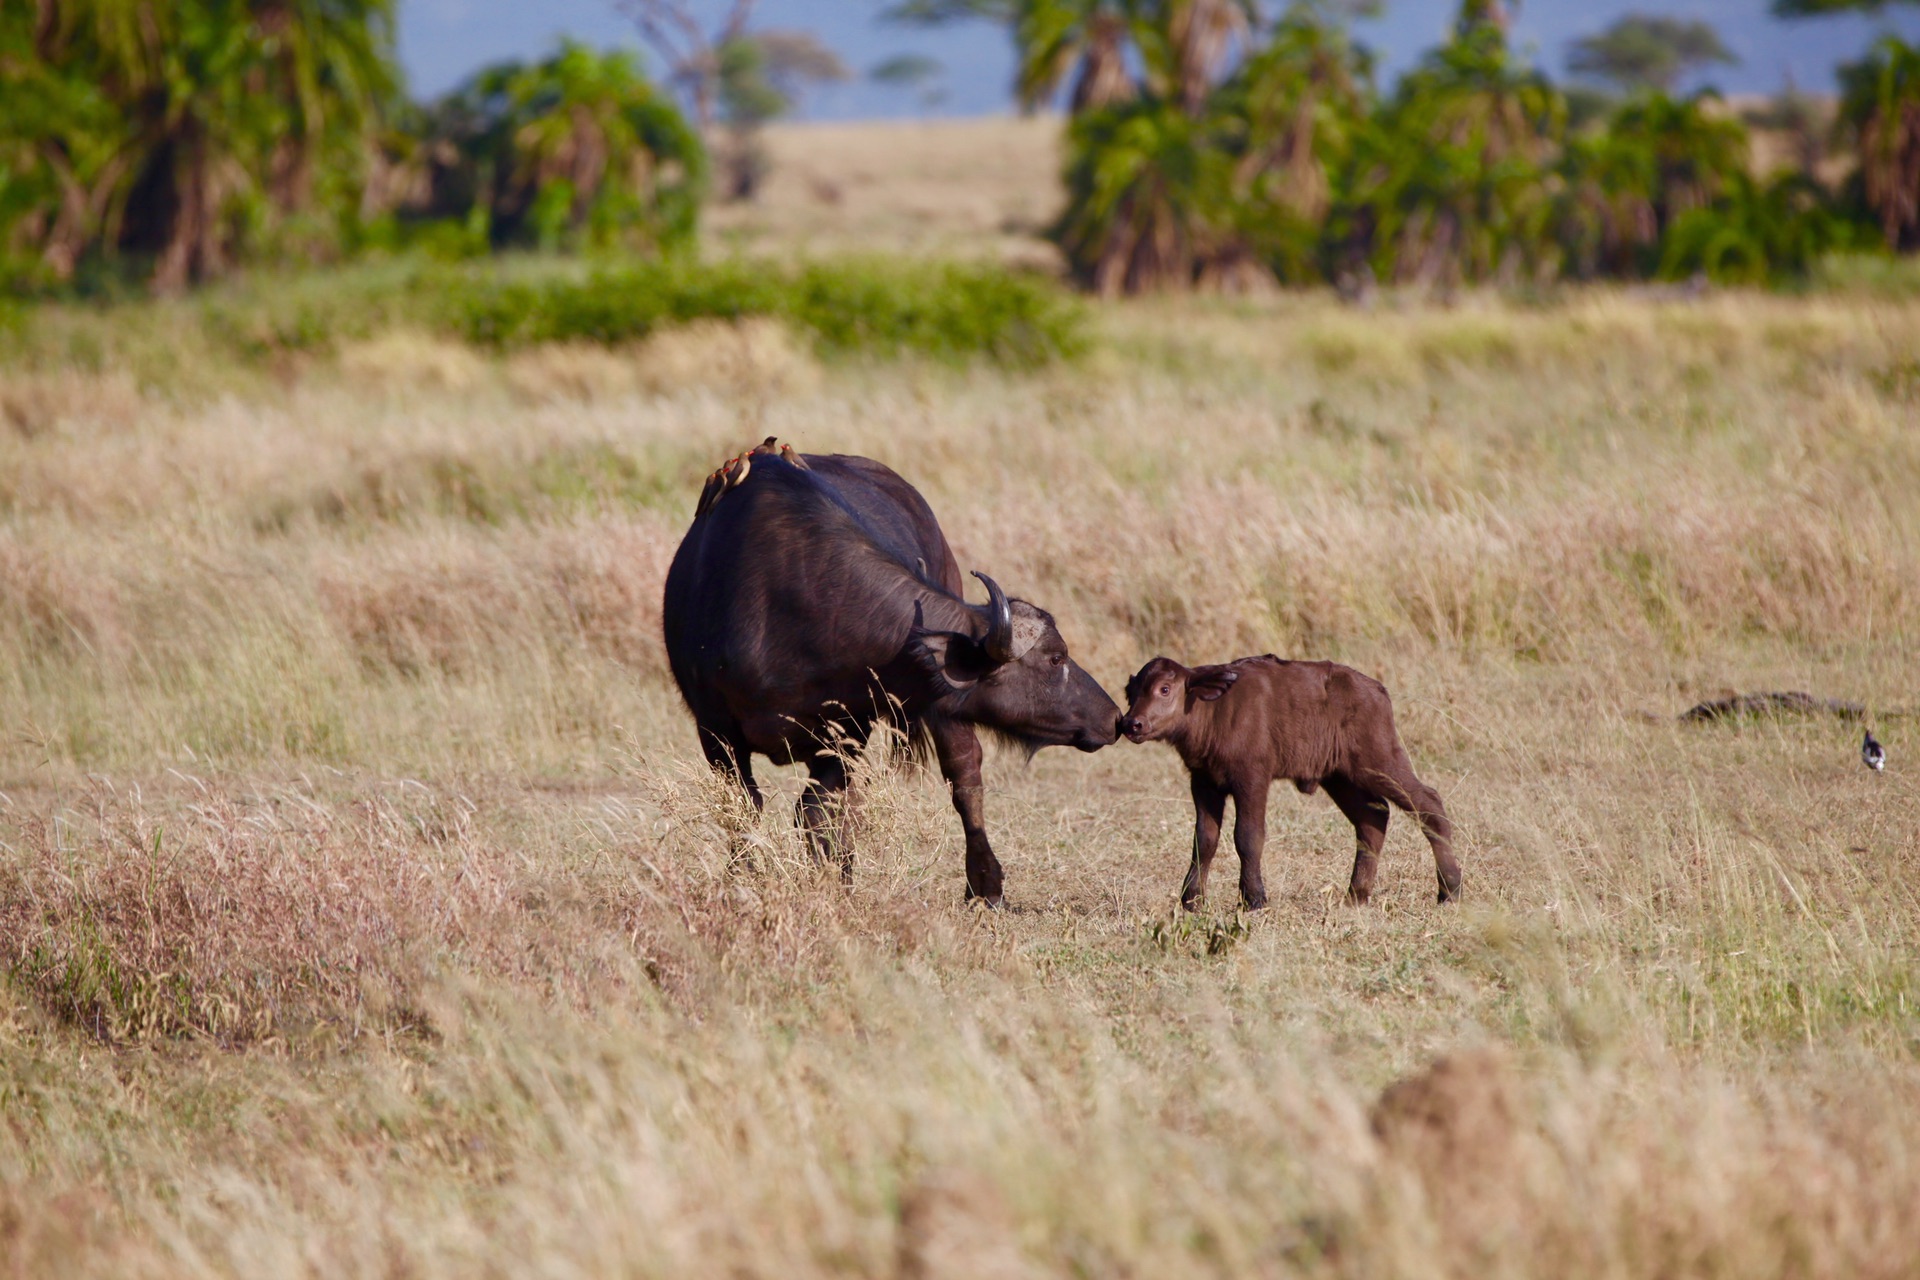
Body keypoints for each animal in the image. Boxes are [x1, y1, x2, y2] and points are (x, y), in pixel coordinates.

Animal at [664, 437, 1121, 901]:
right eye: (1056, 658)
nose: (1114, 718)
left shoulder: (847, 730)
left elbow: (817, 812)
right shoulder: (716, 730)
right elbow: (745, 809)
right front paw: (745, 881)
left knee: (964, 774)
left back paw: (985, 883)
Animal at [1121, 660, 1459, 909]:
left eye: (1165, 689)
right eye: (1132, 694)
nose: (1131, 724)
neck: (1214, 710)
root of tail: (1376, 690)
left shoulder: (1252, 778)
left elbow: (1248, 836)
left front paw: (1254, 899)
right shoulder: (1203, 782)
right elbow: (1205, 839)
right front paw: (1191, 900)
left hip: (1380, 760)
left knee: (1428, 803)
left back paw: (1450, 890)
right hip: (1339, 777)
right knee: (1372, 818)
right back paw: (1356, 896)